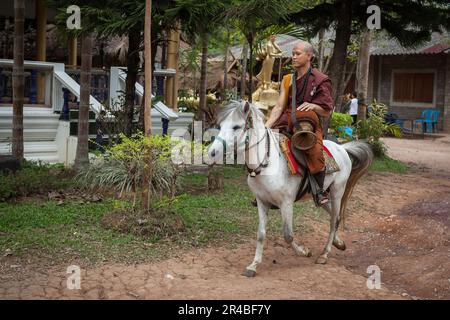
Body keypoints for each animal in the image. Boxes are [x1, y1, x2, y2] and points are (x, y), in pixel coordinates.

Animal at [207, 100, 372, 278]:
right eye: (220, 125)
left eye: (236, 126)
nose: (212, 152)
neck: (267, 164)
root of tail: (342, 148)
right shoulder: (261, 201)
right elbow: (261, 234)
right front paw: (254, 265)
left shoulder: (286, 203)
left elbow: (288, 235)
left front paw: (303, 252)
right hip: (322, 196)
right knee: (334, 216)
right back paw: (338, 243)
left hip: (337, 192)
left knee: (334, 220)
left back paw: (324, 254)